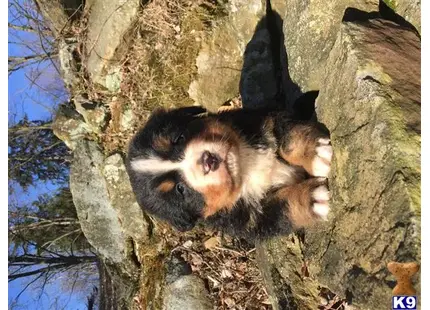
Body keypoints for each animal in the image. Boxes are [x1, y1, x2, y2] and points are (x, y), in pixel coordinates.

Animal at [125, 106, 332, 240]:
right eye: (180, 189)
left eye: (179, 138)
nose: (208, 160)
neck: (245, 166)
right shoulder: (253, 221)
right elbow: (282, 208)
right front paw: (313, 199)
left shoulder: (265, 122)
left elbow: (288, 139)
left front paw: (317, 155)